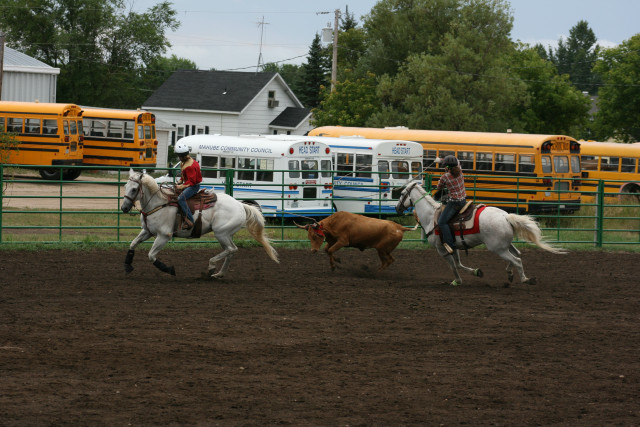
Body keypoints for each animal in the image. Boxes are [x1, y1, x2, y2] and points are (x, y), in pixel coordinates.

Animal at [120, 169, 279, 278]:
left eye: (134, 189)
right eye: (125, 186)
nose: (124, 208)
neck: (158, 203)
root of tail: (240, 205)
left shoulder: (164, 236)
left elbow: (151, 256)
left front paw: (169, 269)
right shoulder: (147, 231)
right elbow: (132, 244)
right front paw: (127, 266)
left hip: (221, 233)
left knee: (231, 249)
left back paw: (211, 267)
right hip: (226, 235)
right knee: (231, 251)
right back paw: (219, 274)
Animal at [395, 180, 565, 286]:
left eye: (403, 193)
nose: (397, 208)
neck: (431, 216)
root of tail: (506, 216)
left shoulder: (441, 248)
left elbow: (453, 266)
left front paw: (457, 281)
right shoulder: (453, 246)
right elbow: (459, 264)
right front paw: (477, 272)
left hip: (498, 248)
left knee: (517, 260)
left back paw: (525, 279)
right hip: (506, 245)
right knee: (517, 255)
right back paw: (510, 274)